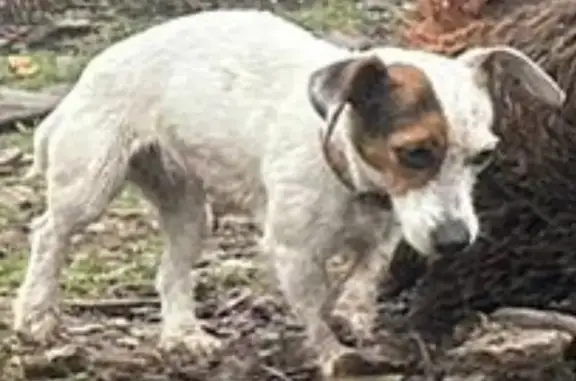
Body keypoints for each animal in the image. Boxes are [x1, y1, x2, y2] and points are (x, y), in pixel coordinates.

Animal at [15, 8, 564, 378]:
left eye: (483, 155)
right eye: (414, 153)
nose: (455, 242)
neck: (350, 175)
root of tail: (89, 72)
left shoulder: (389, 229)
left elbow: (366, 272)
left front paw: (354, 312)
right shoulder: (293, 251)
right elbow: (314, 311)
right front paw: (334, 354)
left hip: (190, 210)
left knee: (170, 271)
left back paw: (182, 335)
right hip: (91, 181)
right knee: (48, 233)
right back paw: (37, 314)